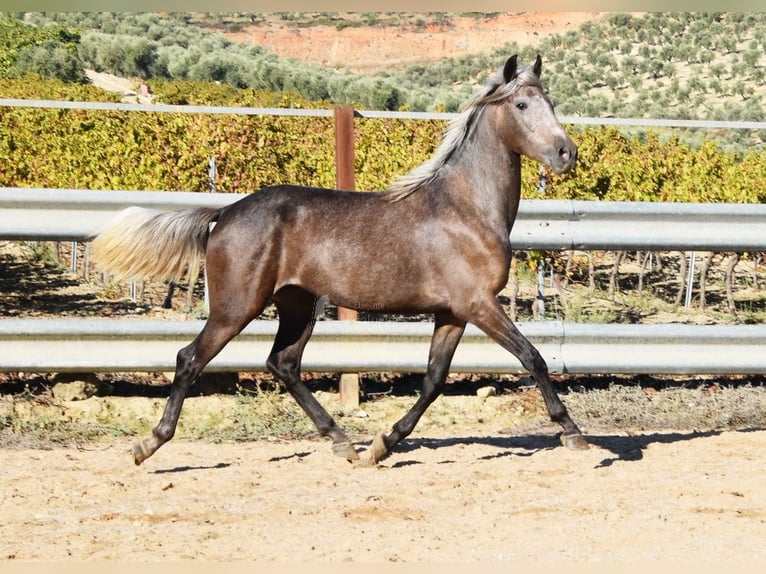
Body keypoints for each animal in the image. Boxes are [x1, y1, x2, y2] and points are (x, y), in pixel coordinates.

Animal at [94, 54, 588, 468]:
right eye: (522, 104)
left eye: (550, 101)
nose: (567, 153)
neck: (465, 209)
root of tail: (225, 212)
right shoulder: (478, 303)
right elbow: (532, 358)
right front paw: (573, 433)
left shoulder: (453, 312)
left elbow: (433, 380)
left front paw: (382, 444)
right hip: (237, 306)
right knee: (190, 358)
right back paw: (149, 444)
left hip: (297, 303)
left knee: (283, 363)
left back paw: (343, 442)